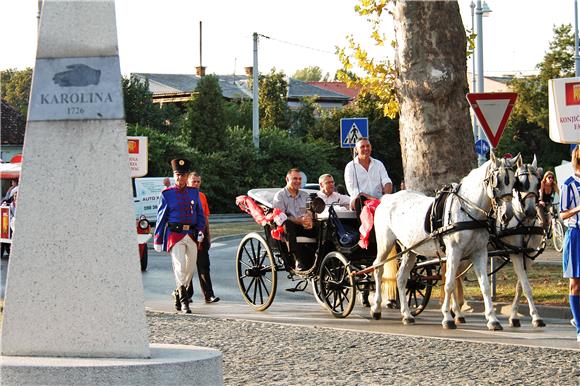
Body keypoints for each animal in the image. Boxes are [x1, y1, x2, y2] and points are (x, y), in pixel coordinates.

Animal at [372, 153, 516, 328]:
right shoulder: (454, 251)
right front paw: (448, 318)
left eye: (514, 182)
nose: (507, 215)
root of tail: (386, 198)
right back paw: (376, 308)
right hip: (385, 243)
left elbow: (485, 286)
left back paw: (407, 315)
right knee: (377, 269)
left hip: (410, 250)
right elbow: (449, 284)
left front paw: (493, 320)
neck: (468, 209)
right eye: (497, 181)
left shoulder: (479, 252)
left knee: (401, 277)